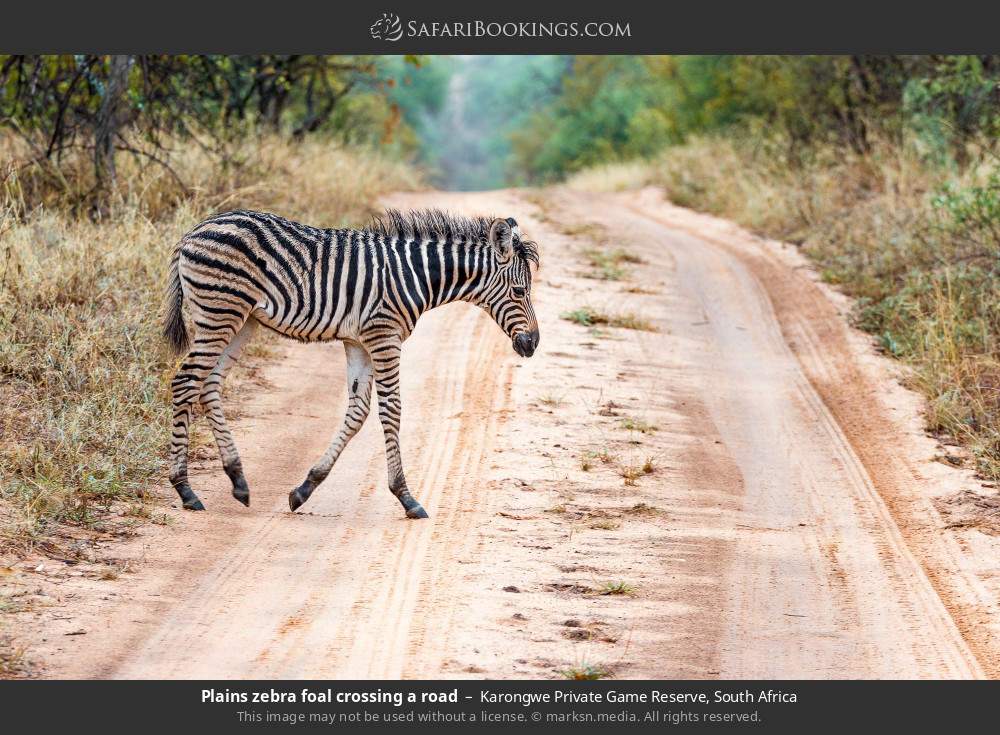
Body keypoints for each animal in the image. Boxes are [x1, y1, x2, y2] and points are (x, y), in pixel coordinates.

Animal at [163, 208, 540, 519]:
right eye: (520, 292)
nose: (533, 344)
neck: (417, 275)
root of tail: (194, 231)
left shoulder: (358, 341)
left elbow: (358, 412)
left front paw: (304, 489)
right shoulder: (383, 335)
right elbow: (391, 409)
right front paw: (406, 497)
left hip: (242, 320)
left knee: (208, 384)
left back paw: (238, 480)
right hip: (220, 312)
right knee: (186, 381)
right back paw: (185, 489)